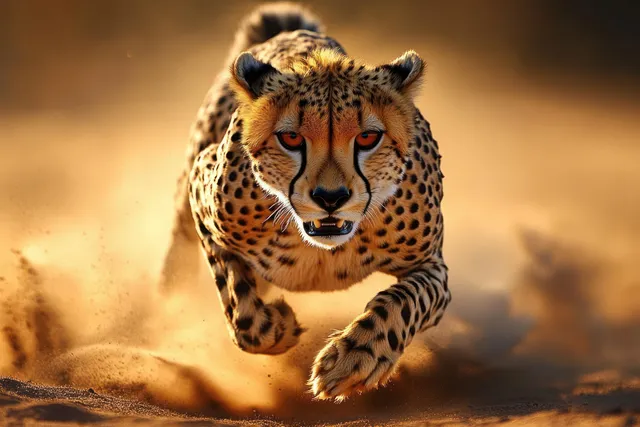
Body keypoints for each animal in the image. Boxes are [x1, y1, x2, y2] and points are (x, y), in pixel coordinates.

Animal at [160, 2, 451, 401]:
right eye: (291, 138)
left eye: (368, 137)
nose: (331, 197)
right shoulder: (202, 196)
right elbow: (240, 308)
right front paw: (279, 326)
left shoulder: (431, 265)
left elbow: (404, 300)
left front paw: (357, 358)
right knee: (177, 265)